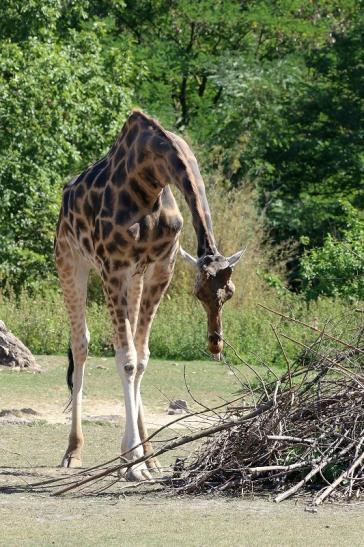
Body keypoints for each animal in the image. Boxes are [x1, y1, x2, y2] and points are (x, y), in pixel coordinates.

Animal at [54, 110, 245, 480]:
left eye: (228, 293)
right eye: (198, 293)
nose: (215, 344)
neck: (152, 175)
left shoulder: (160, 266)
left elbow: (141, 358)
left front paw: (138, 459)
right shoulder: (112, 265)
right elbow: (126, 360)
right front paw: (130, 461)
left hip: (134, 277)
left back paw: (151, 456)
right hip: (70, 260)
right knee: (80, 343)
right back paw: (72, 452)